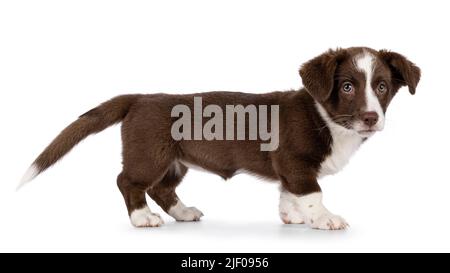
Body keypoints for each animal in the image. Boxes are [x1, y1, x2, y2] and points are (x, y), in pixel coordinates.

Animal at [19, 46, 420, 230]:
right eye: (348, 87)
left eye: (382, 87)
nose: (371, 118)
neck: (328, 119)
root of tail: (139, 98)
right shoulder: (295, 162)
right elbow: (312, 192)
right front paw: (325, 219)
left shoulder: (288, 170)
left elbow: (289, 192)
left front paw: (291, 216)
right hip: (150, 155)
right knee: (128, 182)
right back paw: (142, 217)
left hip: (175, 161)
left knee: (162, 188)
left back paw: (182, 212)